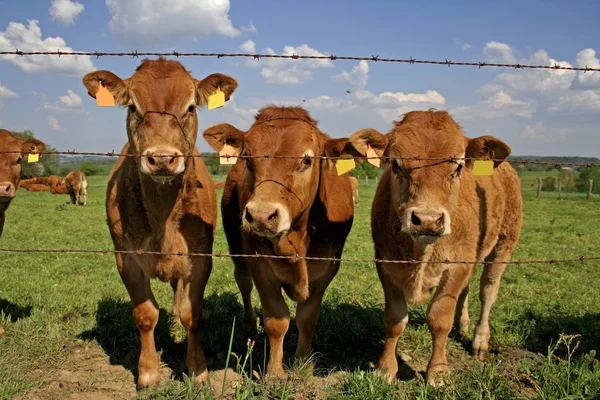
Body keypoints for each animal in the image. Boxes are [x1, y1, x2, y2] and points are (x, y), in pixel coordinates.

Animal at [80, 56, 239, 388]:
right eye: (132, 107)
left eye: (190, 107)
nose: (163, 159)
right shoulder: (126, 258)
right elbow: (145, 314)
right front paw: (149, 371)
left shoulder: (200, 256)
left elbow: (193, 313)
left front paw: (197, 369)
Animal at [205, 104, 356, 376]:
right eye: (248, 158)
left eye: (306, 160)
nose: (260, 215)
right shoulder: (261, 265)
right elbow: (277, 320)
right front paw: (275, 372)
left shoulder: (327, 267)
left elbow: (307, 318)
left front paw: (304, 363)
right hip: (235, 244)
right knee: (243, 281)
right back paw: (249, 323)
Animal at [344, 108, 524, 384]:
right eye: (395, 164)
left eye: (458, 166)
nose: (427, 219)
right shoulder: (385, 263)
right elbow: (395, 319)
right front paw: (386, 368)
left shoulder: (456, 266)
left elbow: (439, 318)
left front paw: (437, 371)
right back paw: (463, 325)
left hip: (504, 243)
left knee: (488, 290)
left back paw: (480, 340)